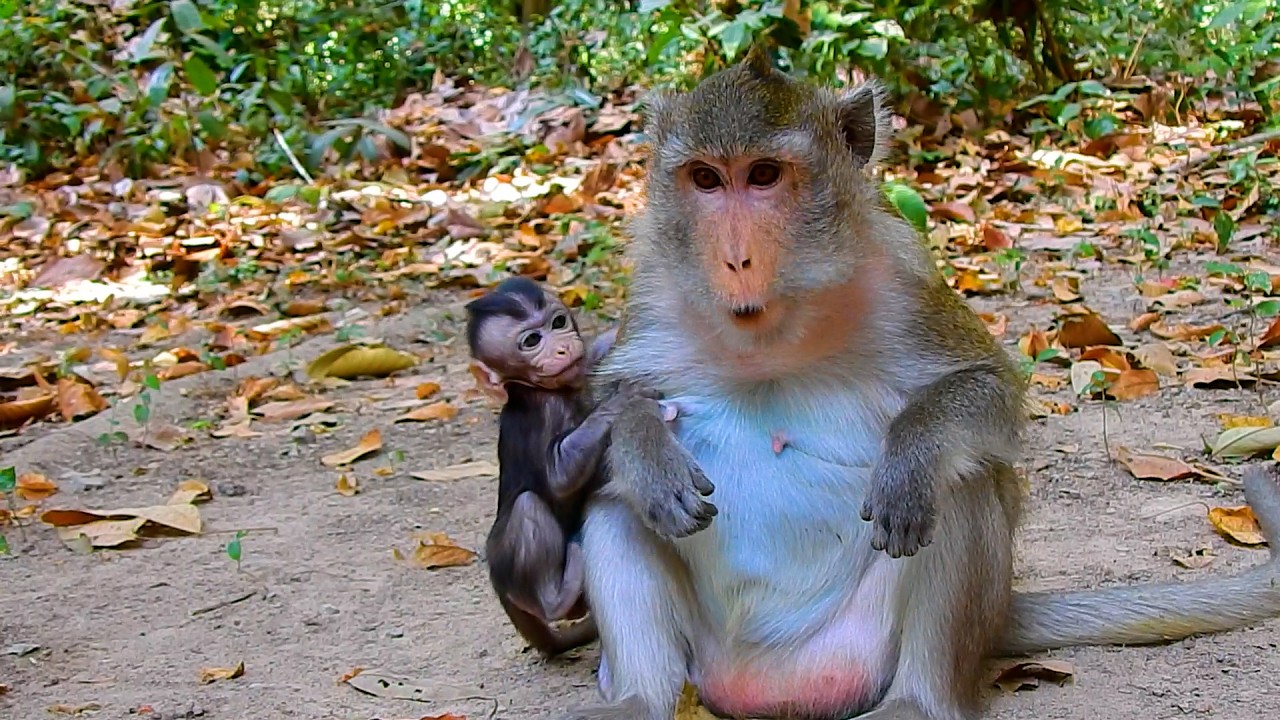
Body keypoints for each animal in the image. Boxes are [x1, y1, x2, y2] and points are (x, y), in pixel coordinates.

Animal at [465, 277, 677, 657]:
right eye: (531, 341)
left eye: (558, 322)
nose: (563, 347)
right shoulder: (542, 410)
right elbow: (558, 478)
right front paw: (621, 399)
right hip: (509, 565)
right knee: (527, 507)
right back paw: (557, 598)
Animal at [557, 48, 1280, 720]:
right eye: (705, 179)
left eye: (763, 176)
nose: (736, 259)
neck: (773, 333)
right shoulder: (654, 290)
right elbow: (611, 404)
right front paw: (645, 444)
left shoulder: (904, 276)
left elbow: (987, 390)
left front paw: (912, 450)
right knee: (615, 505)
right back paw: (637, 698)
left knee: (962, 485)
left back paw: (918, 697)